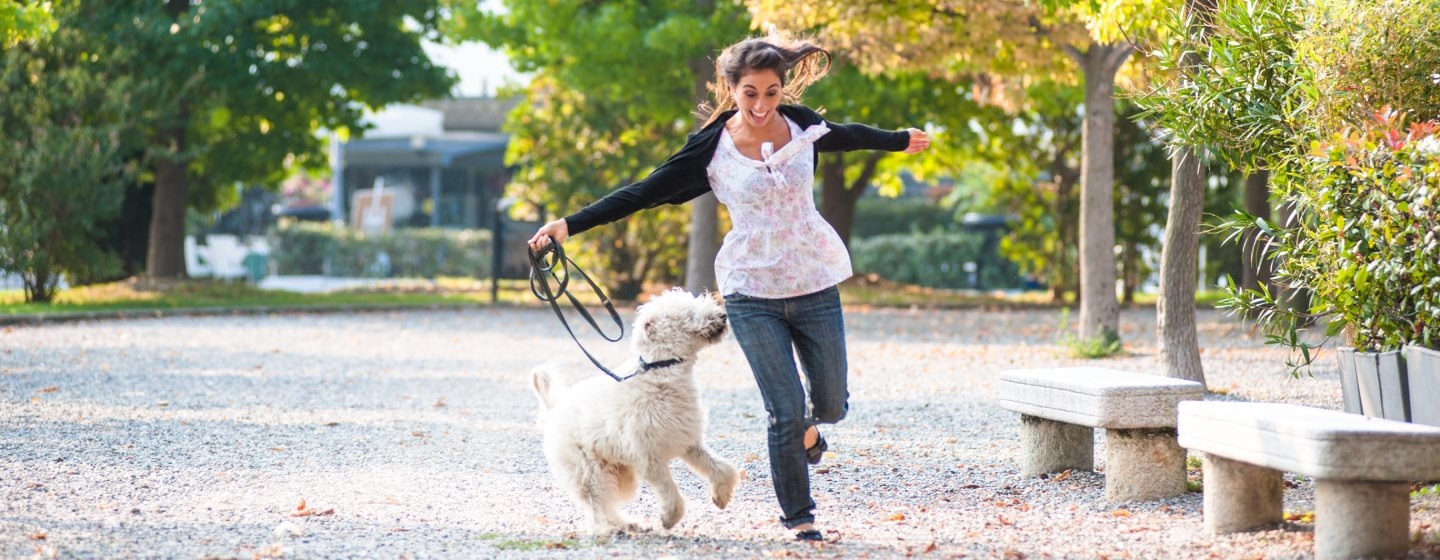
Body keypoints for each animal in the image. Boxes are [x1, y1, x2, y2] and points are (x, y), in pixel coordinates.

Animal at [532, 287, 743, 532]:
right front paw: (669, 518)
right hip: (587, 471)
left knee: (607, 502)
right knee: (595, 504)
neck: (660, 373)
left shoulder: (689, 443)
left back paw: (627, 523)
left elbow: (721, 468)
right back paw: (607, 528)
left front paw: (721, 496)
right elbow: (670, 491)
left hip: (619, 473)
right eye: (689, 315)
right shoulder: (649, 458)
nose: (723, 316)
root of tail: (554, 408)